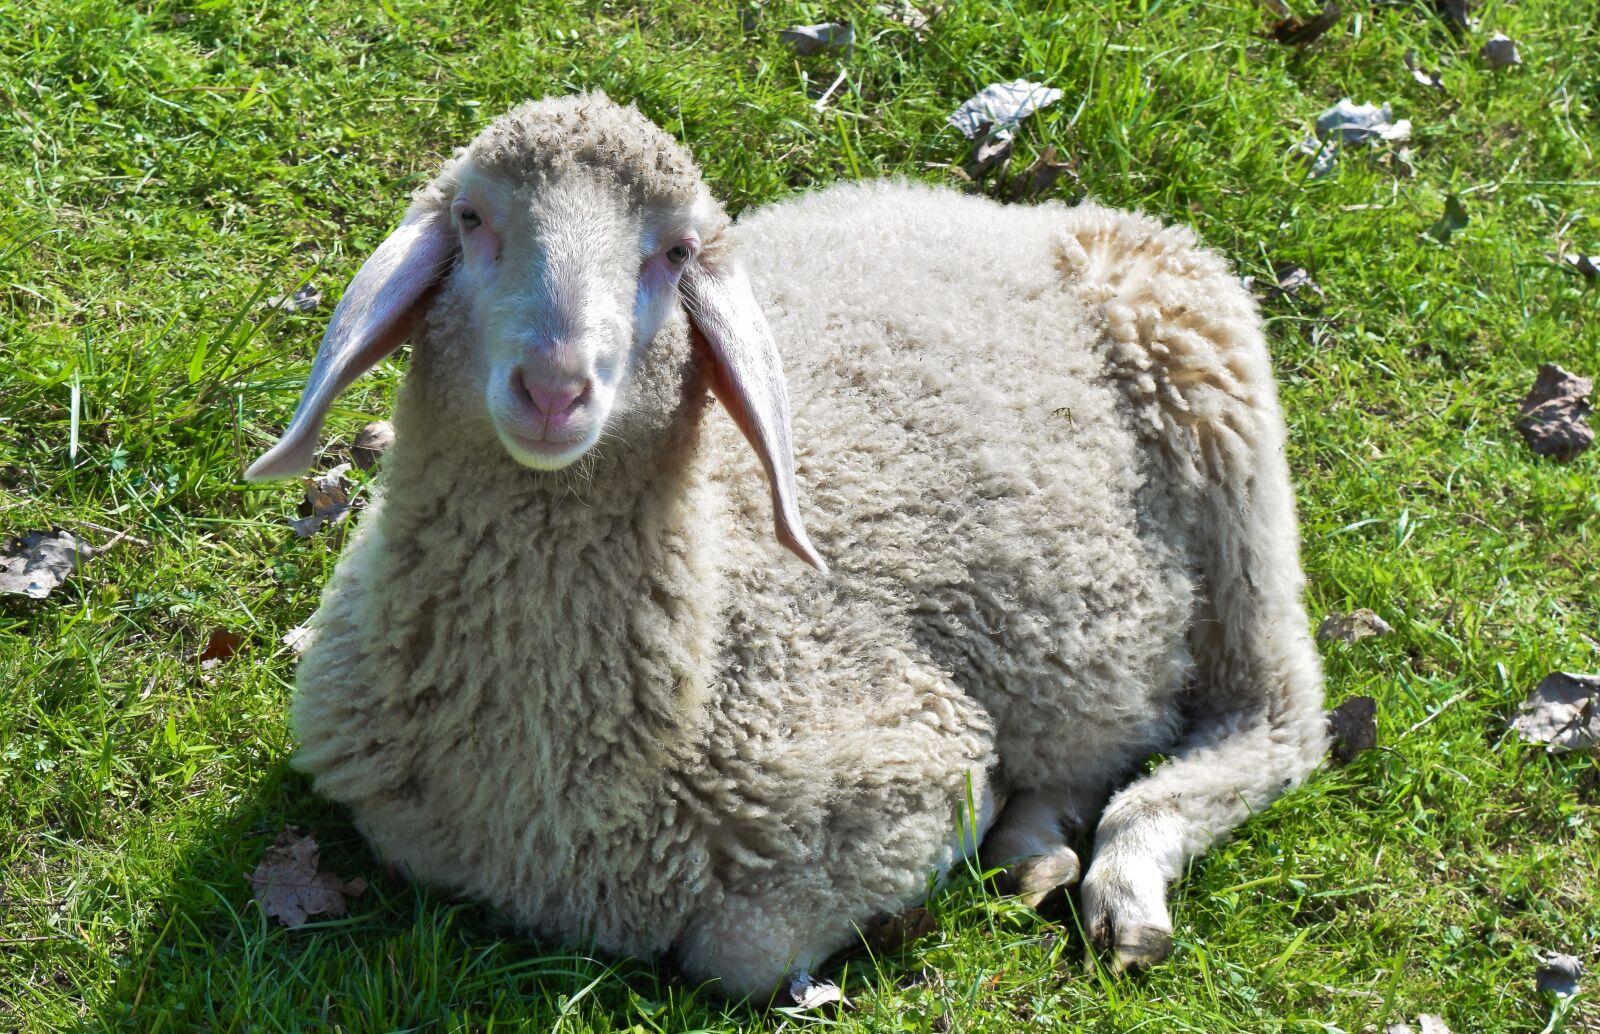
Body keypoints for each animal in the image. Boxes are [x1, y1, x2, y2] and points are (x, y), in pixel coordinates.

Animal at [245, 91, 1328, 998]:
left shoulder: (909, 763)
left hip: (1226, 432)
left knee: (1278, 720)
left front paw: (973, 831)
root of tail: (1021, 217)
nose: (554, 386)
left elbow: (742, 952)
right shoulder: (396, 817)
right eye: (472, 221)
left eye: (676, 251)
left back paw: (1117, 873)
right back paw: (1038, 837)